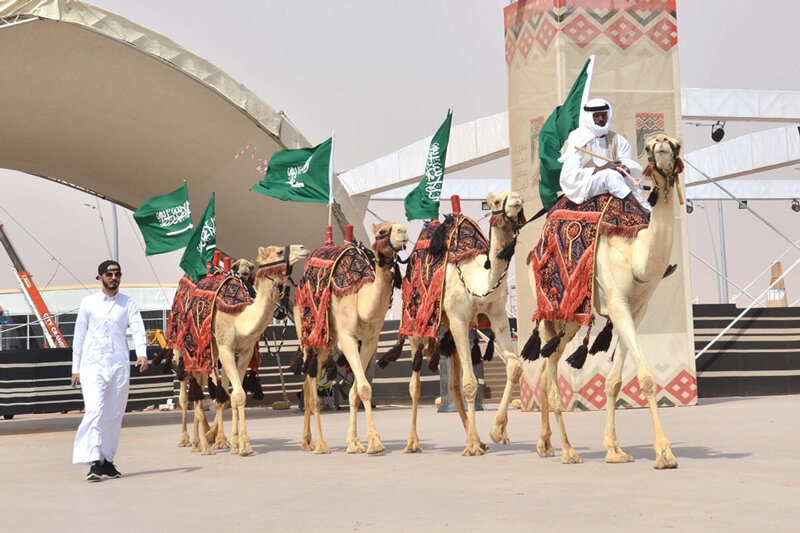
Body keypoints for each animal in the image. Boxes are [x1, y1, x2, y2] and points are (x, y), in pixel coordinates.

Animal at [177, 243, 310, 456]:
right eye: (279, 252)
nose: (304, 248)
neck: (239, 318)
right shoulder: (226, 349)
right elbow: (237, 395)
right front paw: (244, 446)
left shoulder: (245, 352)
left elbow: (234, 396)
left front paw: (234, 443)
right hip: (188, 349)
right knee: (188, 393)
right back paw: (196, 442)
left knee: (208, 390)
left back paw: (208, 439)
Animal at [294, 220, 410, 454]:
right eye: (381, 231)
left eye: (399, 227)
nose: (402, 231)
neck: (359, 298)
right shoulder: (347, 338)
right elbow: (364, 388)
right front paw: (375, 443)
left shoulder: (369, 341)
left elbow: (356, 390)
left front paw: (355, 442)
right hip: (309, 337)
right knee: (311, 390)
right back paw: (319, 444)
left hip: (326, 344)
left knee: (308, 385)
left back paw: (308, 441)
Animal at [406, 189, 524, 456]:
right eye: (496, 201)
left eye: (516, 197)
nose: (516, 202)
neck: (479, 279)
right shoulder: (459, 318)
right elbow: (470, 383)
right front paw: (472, 445)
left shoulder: (497, 316)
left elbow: (514, 366)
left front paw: (496, 432)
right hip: (418, 326)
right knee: (415, 384)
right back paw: (412, 442)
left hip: (448, 330)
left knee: (452, 387)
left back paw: (478, 439)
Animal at [532, 134, 680, 470]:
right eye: (649, 147)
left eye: (676, 145)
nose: (661, 142)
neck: (636, 254)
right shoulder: (616, 302)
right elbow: (647, 378)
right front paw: (664, 453)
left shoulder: (637, 309)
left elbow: (613, 381)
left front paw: (614, 449)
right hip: (550, 309)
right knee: (549, 372)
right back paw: (567, 450)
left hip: (573, 319)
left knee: (549, 366)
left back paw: (545, 444)